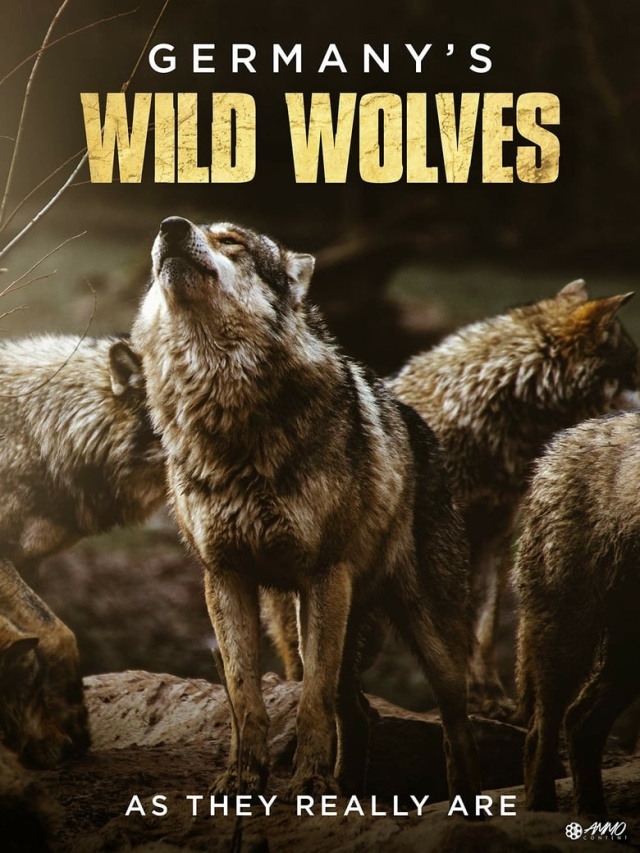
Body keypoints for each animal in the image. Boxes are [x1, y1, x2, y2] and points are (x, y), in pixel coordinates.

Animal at [131, 215, 481, 804]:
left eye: (233, 241)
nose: (170, 227)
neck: (227, 413)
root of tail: (418, 423)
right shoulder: (223, 577)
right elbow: (244, 695)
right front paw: (243, 778)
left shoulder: (323, 575)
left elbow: (312, 703)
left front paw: (309, 782)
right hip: (301, 626)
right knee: (359, 713)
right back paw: (348, 789)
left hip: (425, 636)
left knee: (456, 721)